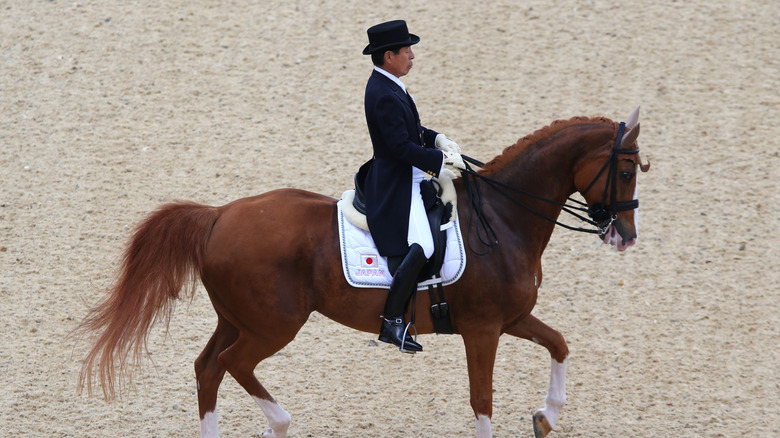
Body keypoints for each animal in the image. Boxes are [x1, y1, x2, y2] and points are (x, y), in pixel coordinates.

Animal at [79, 108, 648, 436]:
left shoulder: (512, 319)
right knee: (233, 365)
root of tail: (219, 214)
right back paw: (280, 424)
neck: (504, 218)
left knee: (208, 369)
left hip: (237, 318)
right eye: (624, 170)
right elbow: (482, 400)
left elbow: (559, 345)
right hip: (272, 326)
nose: (625, 236)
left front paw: (546, 418)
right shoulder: (484, 330)